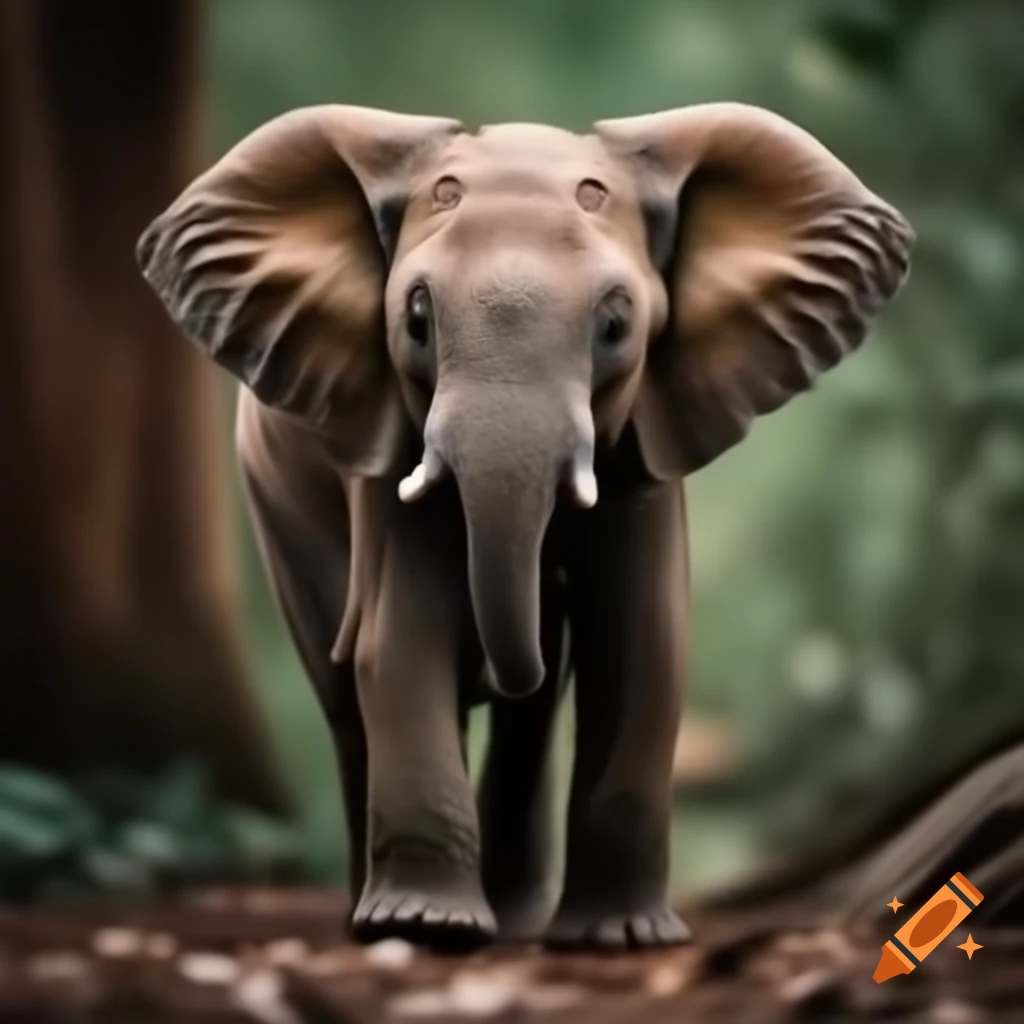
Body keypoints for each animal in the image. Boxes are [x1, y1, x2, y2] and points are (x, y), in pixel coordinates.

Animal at [136, 101, 913, 951]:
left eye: (615, 325)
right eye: (416, 321)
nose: (545, 589)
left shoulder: (644, 457)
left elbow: (641, 646)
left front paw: (622, 938)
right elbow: (401, 639)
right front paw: (427, 926)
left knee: (525, 714)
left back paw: (514, 919)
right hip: (275, 502)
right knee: (346, 698)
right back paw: (378, 913)